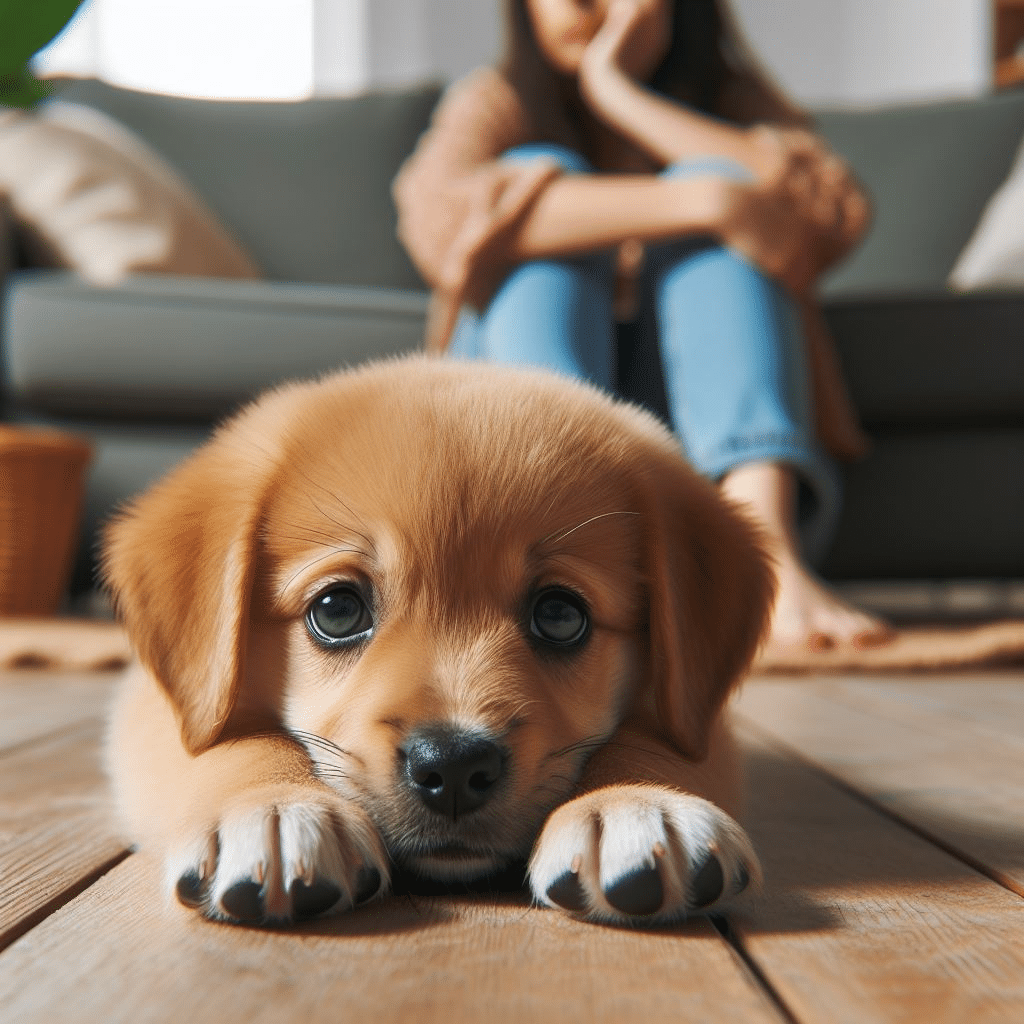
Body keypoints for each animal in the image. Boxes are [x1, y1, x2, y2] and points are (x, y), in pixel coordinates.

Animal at [105, 354, 774, 929]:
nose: (453, 767)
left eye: (561, 615)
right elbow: (229, 743)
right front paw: (272, 809)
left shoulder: (703, 727)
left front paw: (635, 806)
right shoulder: (157, 710)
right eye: (337, 610)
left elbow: (647, 739)